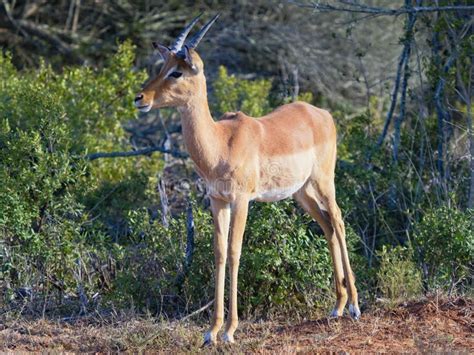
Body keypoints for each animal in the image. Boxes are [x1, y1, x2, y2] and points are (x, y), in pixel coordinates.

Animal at [135, 15, 362, 346]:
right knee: (328, 227)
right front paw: (211, 331)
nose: (140, 98)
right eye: (161, 66)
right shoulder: (217, 200)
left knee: (339, 220)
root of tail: (322, 113)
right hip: (302, 193)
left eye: (177, 71)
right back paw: (338, 306)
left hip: (324, 182)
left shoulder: (241, 200)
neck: (221, 143)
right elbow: (218, 252)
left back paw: (356, 306)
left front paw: (230, 330)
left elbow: (234, 252)